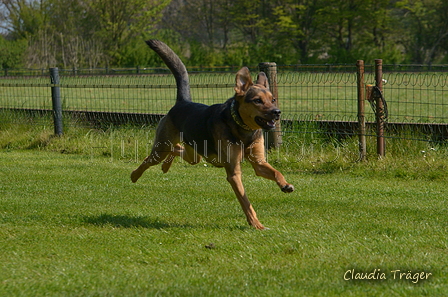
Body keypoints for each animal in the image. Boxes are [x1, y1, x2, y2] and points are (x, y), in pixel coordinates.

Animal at [130, 40, 294, 229]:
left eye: (273, 99)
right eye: (257, 101)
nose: (277, 112)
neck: (242, 128)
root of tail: (182, 102)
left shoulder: (259, 163)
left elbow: (276, 172)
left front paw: (285, 185)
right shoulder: (234, 173)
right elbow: (245, 201)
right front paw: (256, 224)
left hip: (194, 154)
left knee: (178, 149)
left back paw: (165, 166)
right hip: (162, 147)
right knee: (150, 159)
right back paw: (134, 175)